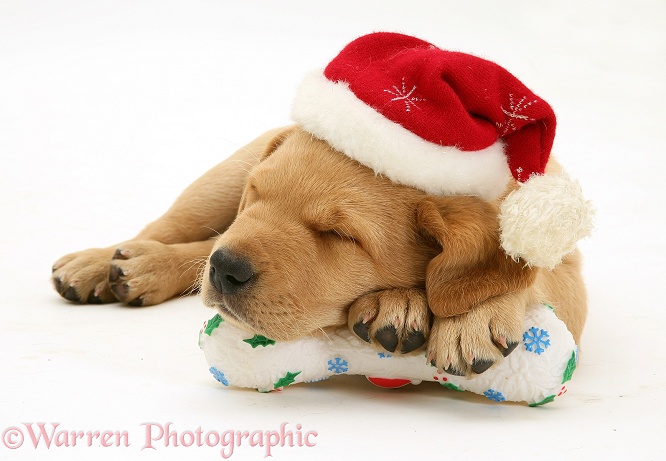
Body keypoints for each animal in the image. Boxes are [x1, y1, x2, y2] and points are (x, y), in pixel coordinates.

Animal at [49, 125, 584, 374]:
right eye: (257, 194)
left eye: (338, 235)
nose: (226, 270)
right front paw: (407, 300)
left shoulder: (566, 263)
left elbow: (528, 271)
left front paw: (469, 316)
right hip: (220, 182)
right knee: (178, 231)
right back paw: (110, 262)